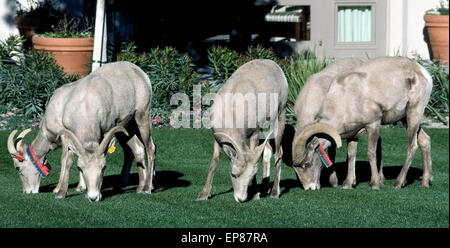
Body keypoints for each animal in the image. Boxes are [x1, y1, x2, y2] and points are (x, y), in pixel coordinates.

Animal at [6, 61, 157, 202]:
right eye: (81, 168)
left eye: (17, 167)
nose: (28, 191)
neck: (85, 105)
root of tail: (140, 72)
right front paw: (78, 188)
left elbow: (65, 160)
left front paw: (58, 191)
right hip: (126, 127)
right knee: (136, 149)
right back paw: (137, 186)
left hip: (142, 116)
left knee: (150, 147)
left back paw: (147, 188)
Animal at [197, 59, 288, 202]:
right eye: (234, 174)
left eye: (250, 176)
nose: (241, 199)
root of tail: (275, 65)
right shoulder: (217, 138)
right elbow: (214, 162)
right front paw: (203, 195)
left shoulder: (254, 133)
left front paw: (255, 195)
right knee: (267, 150)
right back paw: (265, 188)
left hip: (280, 115)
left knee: (278, 153)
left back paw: (274, 193)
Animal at [292, 56, 432, 190]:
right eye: (295, 170)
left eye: (307, 164)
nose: (309, 188)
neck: (345, 98)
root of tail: (423, 72)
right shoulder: (353, 134)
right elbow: (351, 154)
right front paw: (348, 184)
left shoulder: (373, 124)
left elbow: (370, 152)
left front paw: (374, 184)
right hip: (406, 119)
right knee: (424, 140)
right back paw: (425, 182)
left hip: (413, 113)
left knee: (412, 146)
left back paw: (397, 183)